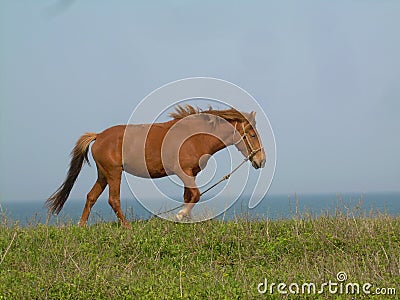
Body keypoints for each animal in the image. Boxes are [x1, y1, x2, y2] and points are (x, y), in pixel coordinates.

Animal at [47, 105, 266, 227]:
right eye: (252, 134)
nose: (261, 160)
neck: (195, 136)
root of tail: (99, 136)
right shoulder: (183, 172)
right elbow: (196, 195)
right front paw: (180, 215)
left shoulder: (190, 173)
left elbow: (188, 196)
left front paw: (185, 219)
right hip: (114, 173)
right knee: (113, 200)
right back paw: (127, 227)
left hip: (103, 174)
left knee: (91, 197)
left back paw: (82, 225)